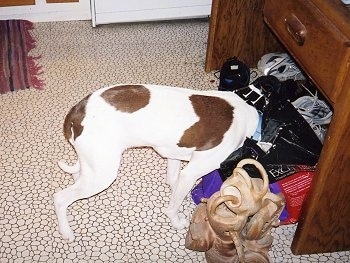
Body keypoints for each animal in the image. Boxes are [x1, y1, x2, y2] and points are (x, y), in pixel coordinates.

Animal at [53, 85, 258, 243]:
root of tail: (77, 111)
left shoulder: (174, 156)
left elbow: (174, 182)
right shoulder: (191, 173)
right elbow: (174, 205)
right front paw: (177, 221)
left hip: (93, 165)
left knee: (77, 176)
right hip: (102, 175)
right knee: (60, 198)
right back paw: (66, 232)